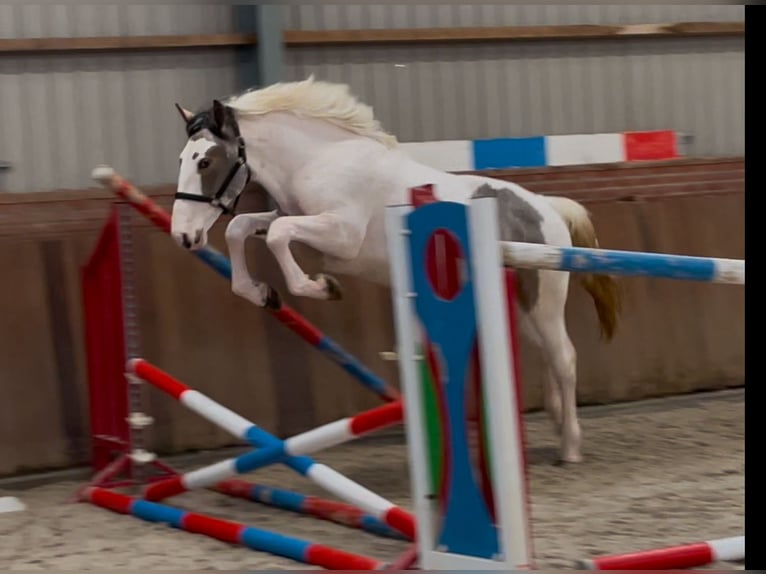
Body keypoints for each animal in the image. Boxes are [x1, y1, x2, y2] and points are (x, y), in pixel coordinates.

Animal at [171, 76, 620, 466]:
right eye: (182, 159)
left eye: (206, 161)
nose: (184, 236)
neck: (320, 160)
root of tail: (547, 207)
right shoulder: (290, 218)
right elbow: (241, 228)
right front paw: (262, 293)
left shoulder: (340, 236)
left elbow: (278, 237)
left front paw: (323, 287)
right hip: (522, 305)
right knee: (547, 354)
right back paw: (557, 423)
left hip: (544, 300)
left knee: (564, 357)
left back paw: (570, 447)